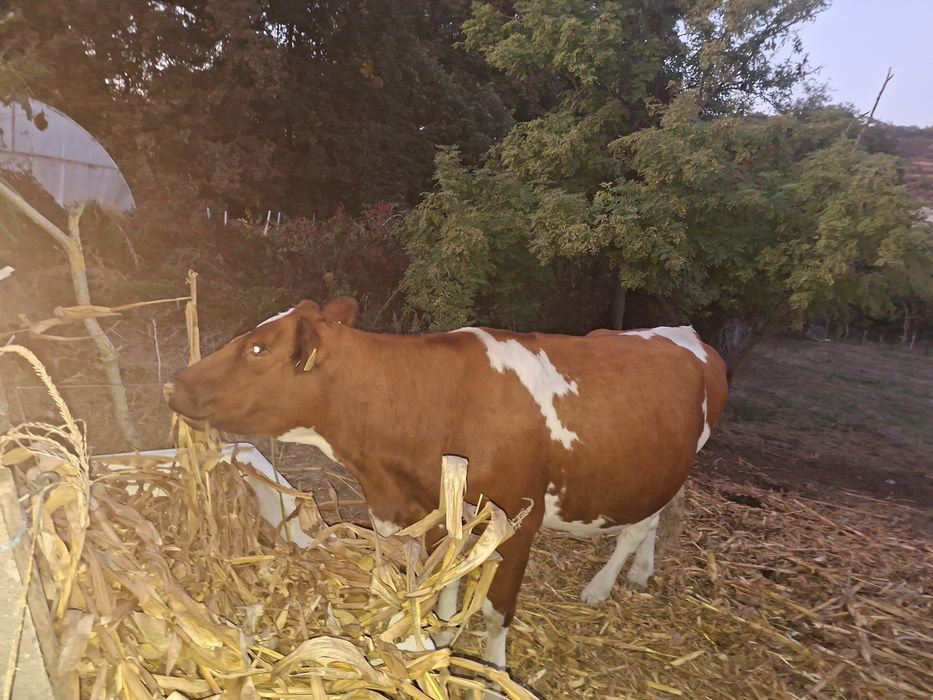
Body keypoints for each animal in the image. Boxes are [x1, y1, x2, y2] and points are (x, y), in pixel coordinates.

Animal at [163, 296, 728, 670]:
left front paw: (494, 675)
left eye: (258, 349)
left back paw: (601, 586)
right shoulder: (429, 507)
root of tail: (686, 333)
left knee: (637, 526)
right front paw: (438, 640)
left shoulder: (517, 520)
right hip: (661, 463)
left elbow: (497, 612)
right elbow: (442, 585)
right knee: (652, 520)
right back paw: (639, 573)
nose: (171, 385)